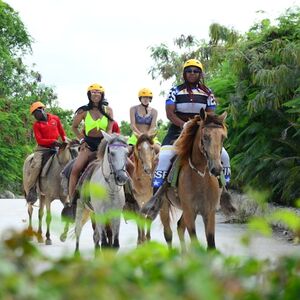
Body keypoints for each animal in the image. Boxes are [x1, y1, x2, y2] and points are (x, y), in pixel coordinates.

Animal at [144, 109, 226, 250]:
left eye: (222, 137)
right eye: (205, 137)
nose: (216, 169)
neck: (200, 176)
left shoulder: (209, 212)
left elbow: (211, 245)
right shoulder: (189, 211)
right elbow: (195, 243)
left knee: (179, 227)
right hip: (164, 205)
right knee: (168, 233)